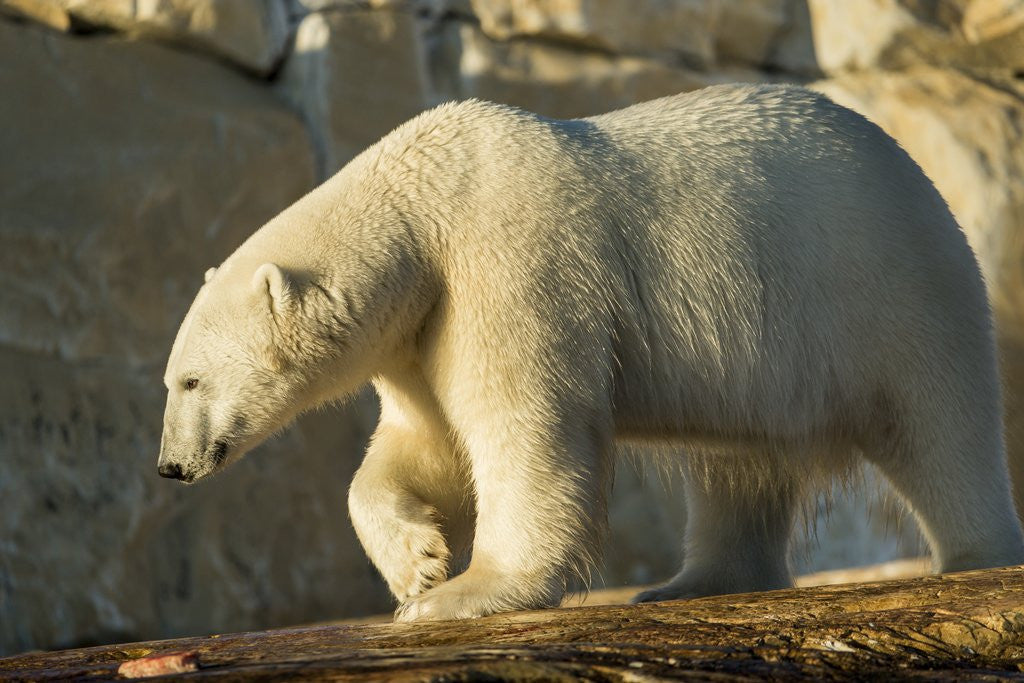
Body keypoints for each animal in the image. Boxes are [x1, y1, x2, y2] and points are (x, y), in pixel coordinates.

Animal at [158, 84, 1024, 622]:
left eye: (190, 379)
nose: (170, 466)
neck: (423, 202)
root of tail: (911, 168)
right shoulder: (422, 328)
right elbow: (425, 444)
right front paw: (418, 561)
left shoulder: (506, 261)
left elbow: (522, 424)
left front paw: (463, 591)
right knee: (741, 464)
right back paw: (690, 583)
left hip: (885, 285)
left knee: (939, 421)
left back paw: (976, 556)